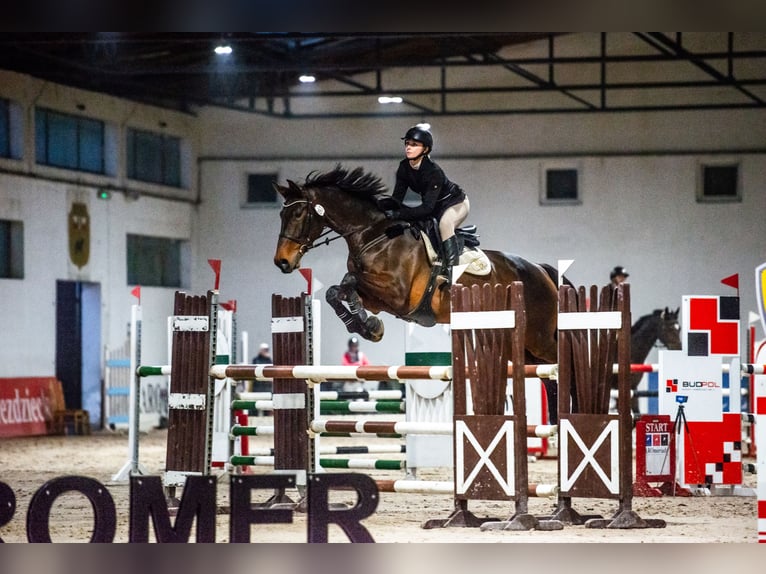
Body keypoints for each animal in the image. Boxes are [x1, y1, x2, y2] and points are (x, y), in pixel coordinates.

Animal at [272, 165, 561, 367]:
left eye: (298, 213)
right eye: (281, 214)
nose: (282, 262)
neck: (373, 235)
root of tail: (540, 270)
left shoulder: (398, 294)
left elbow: (348, 280)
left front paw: (368, 325)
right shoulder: (378, 300)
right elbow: (337, 290)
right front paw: (365, 325)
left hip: (539, 338)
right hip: (520, 344)